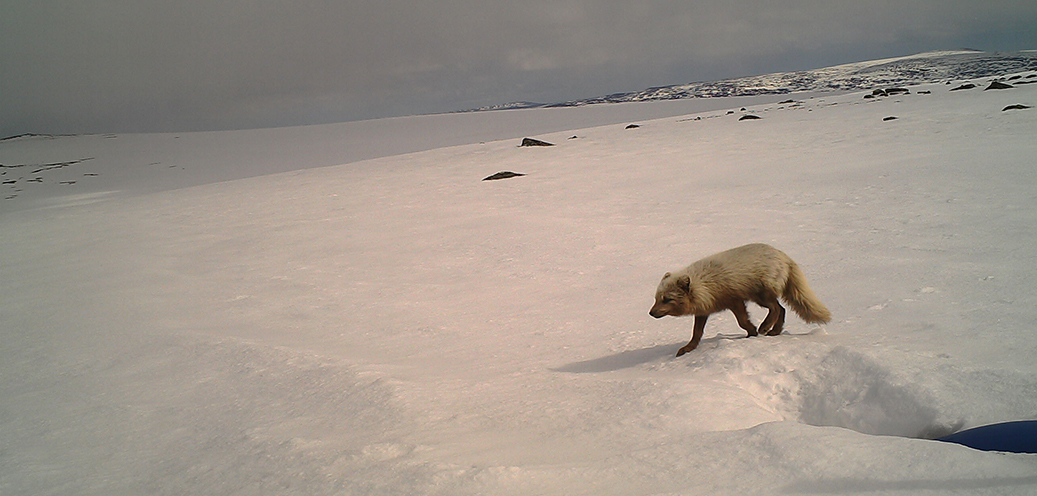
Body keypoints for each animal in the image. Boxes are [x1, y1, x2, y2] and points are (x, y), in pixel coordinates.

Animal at [647, 241, 833, 354]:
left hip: (761, 296)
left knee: (776, 308)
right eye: (656, 298)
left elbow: (742, 321)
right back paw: (775, 331)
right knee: (782, 309)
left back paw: (765, 327)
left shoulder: (735, 301)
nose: (650, 313)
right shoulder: (703, 310)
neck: (704, 284)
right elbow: (696, 333)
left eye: (667, 299)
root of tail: (784, 256)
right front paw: (688, 349)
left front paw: (752, 333)